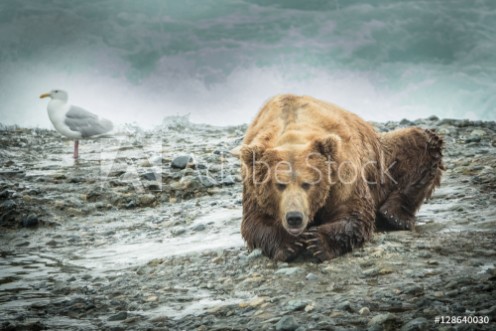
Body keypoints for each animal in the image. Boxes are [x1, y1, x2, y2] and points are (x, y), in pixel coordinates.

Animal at [234, 94, 444, 264]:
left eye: (307, 183)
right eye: (279, 184)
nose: (294, 218)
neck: (291, 131)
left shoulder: (342, 173)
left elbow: (354, 213)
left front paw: (318, 241)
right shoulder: (253, 188)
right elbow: (254, 223)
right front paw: (290, 243)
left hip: (382, 160)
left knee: (420, 141)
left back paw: (395, 216)